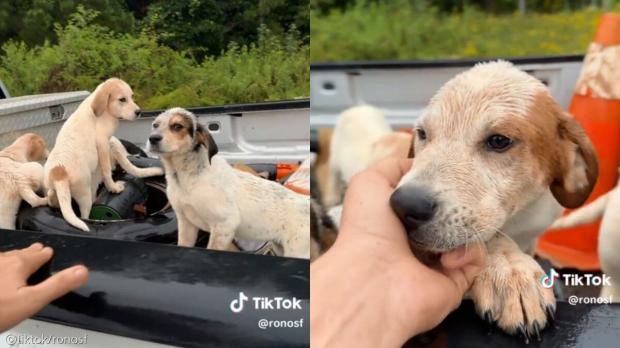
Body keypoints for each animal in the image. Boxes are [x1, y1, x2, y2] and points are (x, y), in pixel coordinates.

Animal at [146, 108, 310, 258]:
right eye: (155, 125)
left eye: (177, 126)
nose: (152, 138)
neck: (186, 176)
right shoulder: (186, 223)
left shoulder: (224, 225)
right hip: (280, 247)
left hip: (296, 251)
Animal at [390, 60, 600, 340]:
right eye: (422, 133)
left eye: (499, 140)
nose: (405, 205)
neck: (520, 219)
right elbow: (488, 235)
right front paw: (509, 269)